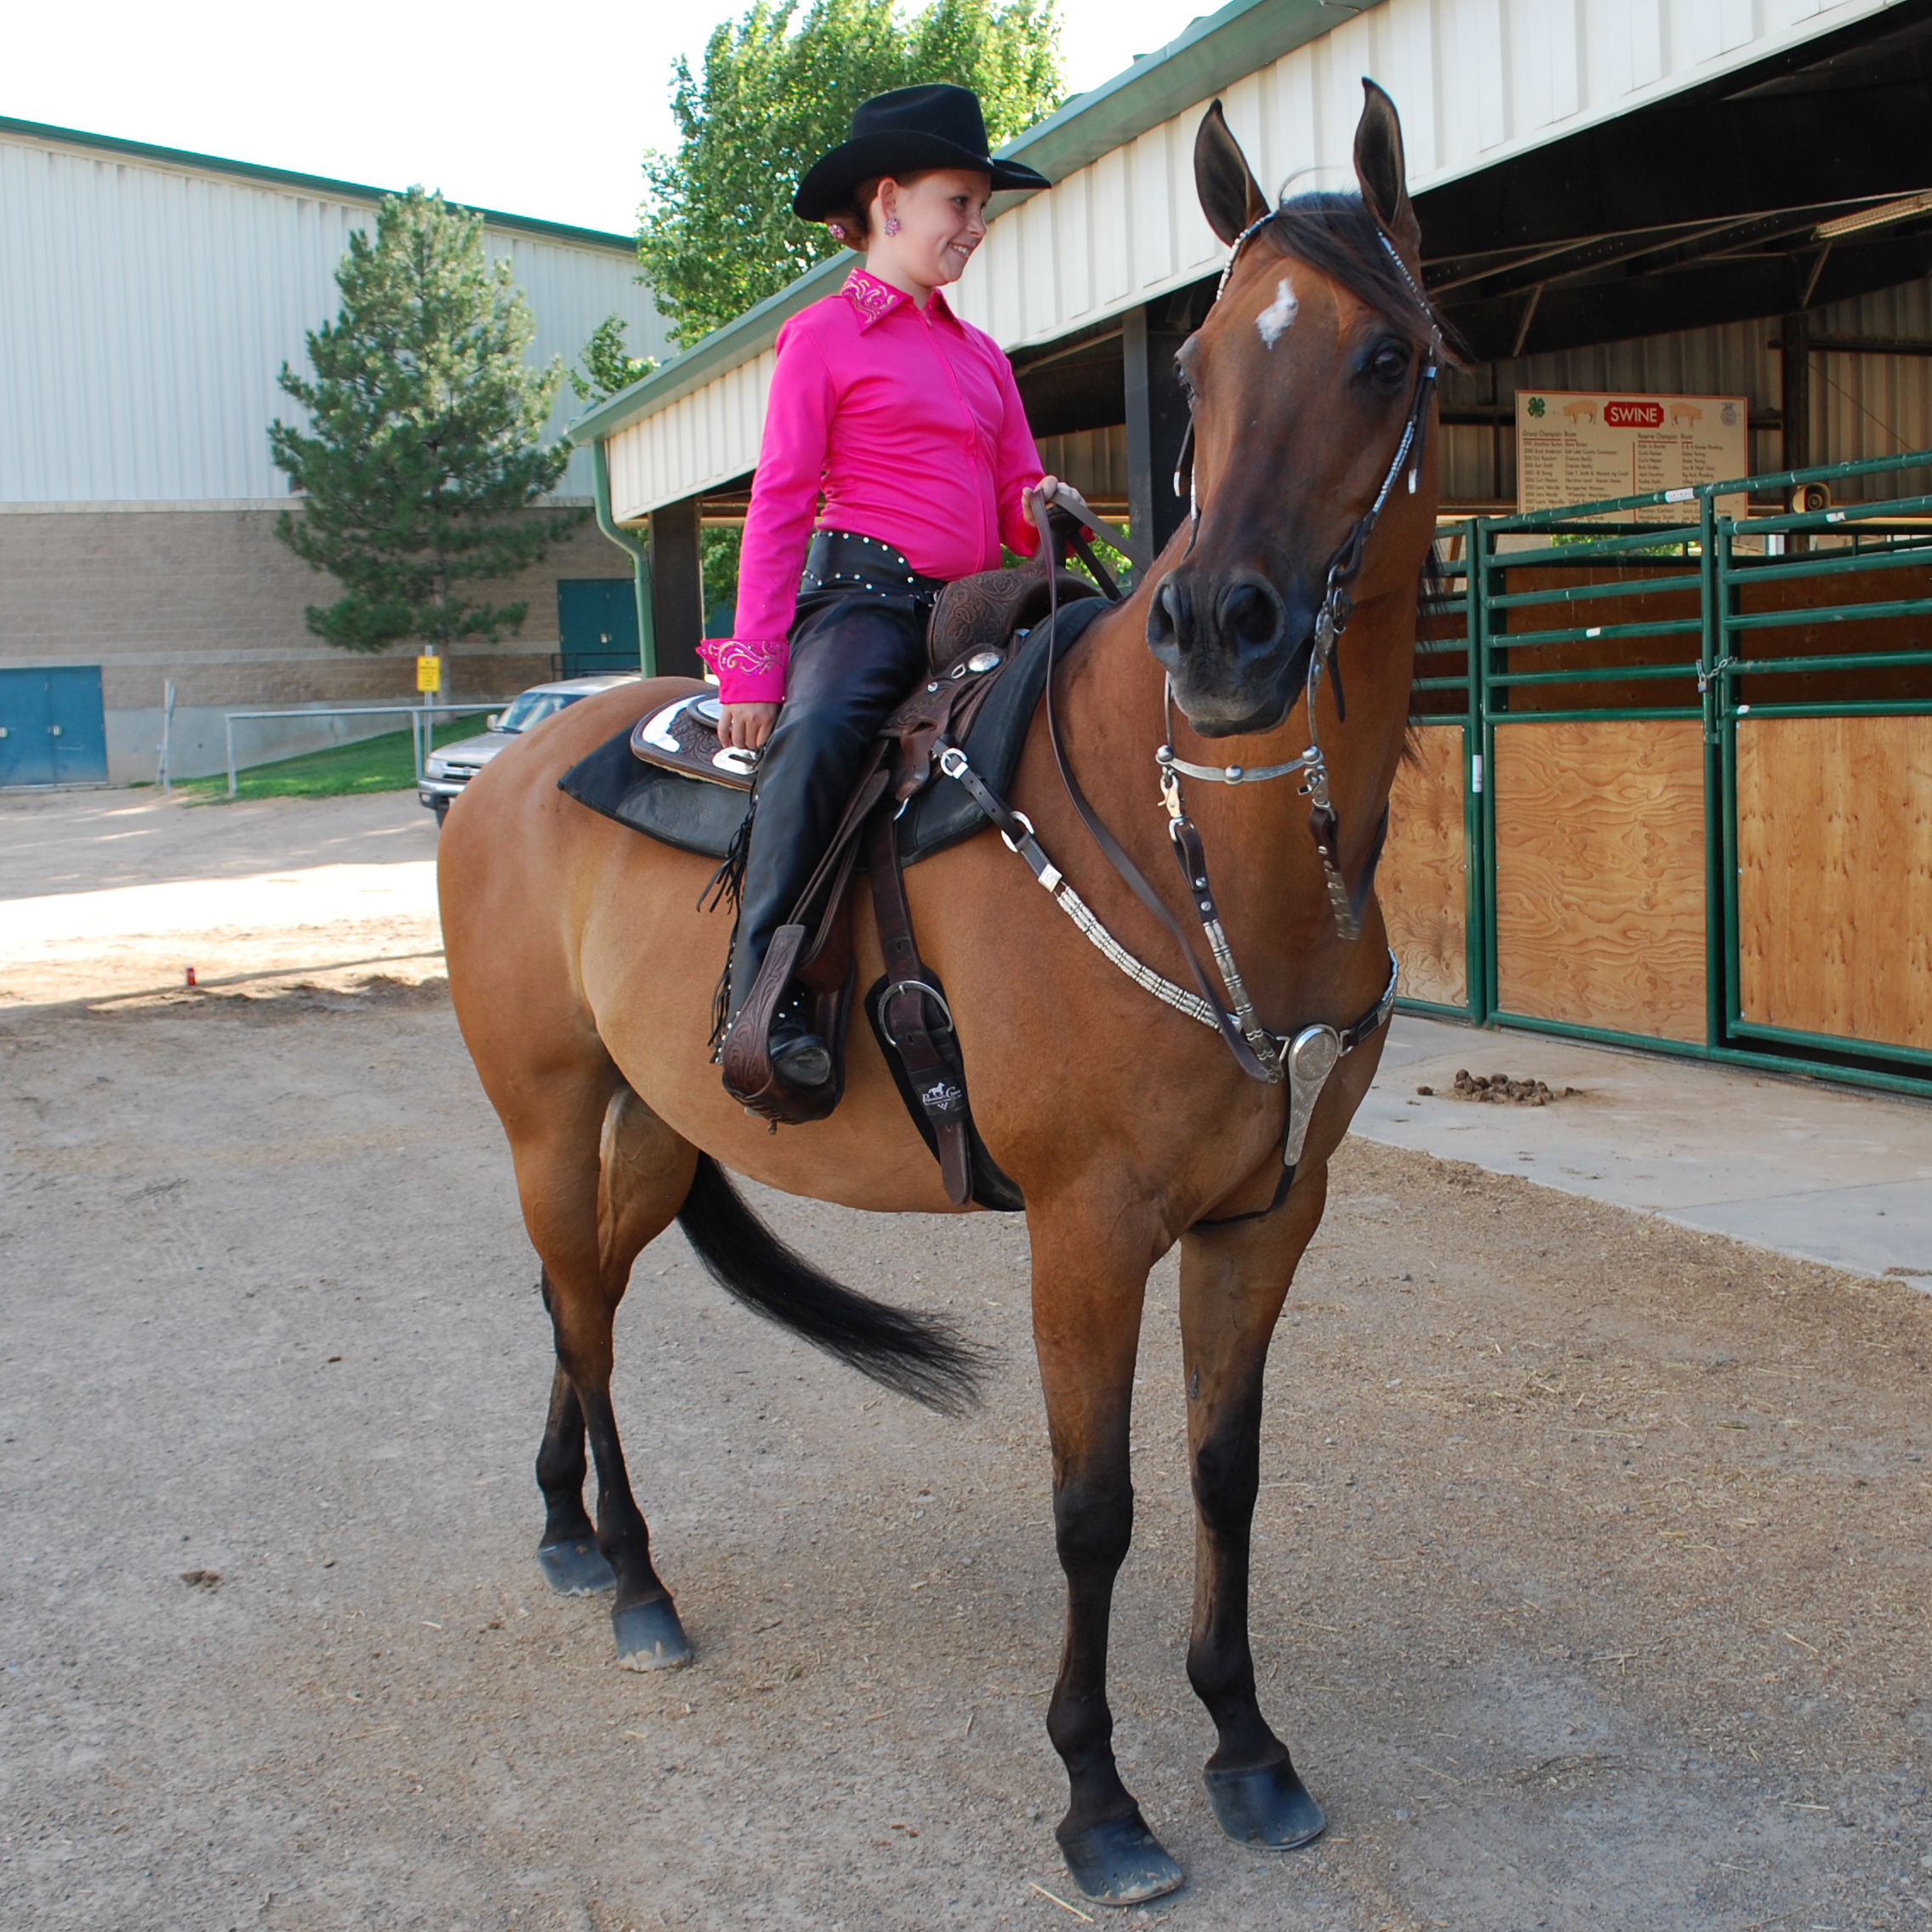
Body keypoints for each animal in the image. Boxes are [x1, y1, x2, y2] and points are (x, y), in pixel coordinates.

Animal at [438, 82, 1444, 1907]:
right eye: (1200, 360)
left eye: (1384, 356)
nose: (1221, 628)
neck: (1199, 844)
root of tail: (504, 766)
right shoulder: (1087, 1229)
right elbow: (1094, 1509)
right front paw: (1100, 1799)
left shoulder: (1268, 1215)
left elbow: (1227, 1472)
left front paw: (1247, 1747)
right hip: (545, 1113)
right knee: (588, 1317)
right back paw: (639, 1584)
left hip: (653, 1127)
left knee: (578, 1294)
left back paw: (566, 1532)